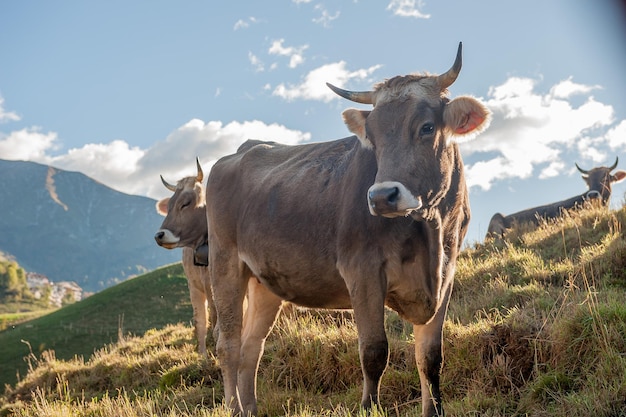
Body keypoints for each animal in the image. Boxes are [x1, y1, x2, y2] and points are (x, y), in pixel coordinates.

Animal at [205, 43, 488, 416]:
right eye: (373, 138)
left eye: (427, 127)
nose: (382, 196)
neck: (432, 228)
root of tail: (239, 153)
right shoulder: (362, 271)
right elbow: (374, 351)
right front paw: (369, 407)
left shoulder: (446, 274)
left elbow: (430, 357)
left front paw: (434, 410)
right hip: (224, 264)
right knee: (229, 345)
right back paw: (235, 407)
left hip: (264, 281)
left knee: (252, 346)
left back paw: (250, 408)